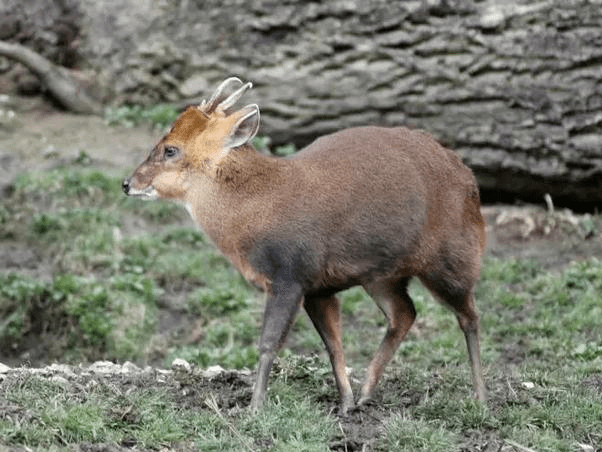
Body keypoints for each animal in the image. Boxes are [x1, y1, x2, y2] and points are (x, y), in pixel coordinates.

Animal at [123, 77, 488, 414]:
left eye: (171, 149)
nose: (127, 183)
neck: (259, 205)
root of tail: (468, 177)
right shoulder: (318, 287)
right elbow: (333, 344)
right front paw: (346, 404)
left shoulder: (290, 275)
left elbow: (269, 343)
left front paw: (254, 408)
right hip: (381, 275)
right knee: (404, 313)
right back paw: (367, 393)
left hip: (453, 257)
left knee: (469, 315)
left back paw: (480, 396)